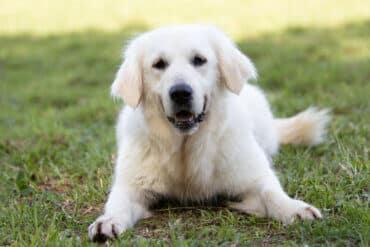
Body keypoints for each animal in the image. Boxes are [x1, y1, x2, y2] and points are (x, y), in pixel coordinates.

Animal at [87, 25, 330, 243]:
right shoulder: (131, 186)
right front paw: (107, 221)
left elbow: (272, 193)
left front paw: (295, 209)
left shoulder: (253, 177)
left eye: (199, 60)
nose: (180, 93)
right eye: (159, 64)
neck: (186, 146)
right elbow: (117, 203)